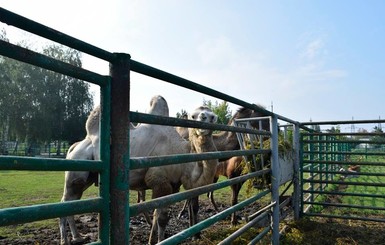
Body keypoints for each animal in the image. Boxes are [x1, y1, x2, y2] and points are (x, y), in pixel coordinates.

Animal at [58, 95, 218, 245]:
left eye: (212, 116)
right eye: (193, 116)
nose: (205, 120)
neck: (180, 153)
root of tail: (73, 147)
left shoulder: (172, 186)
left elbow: (160, 215)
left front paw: (153, 239)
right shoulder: (159, 181)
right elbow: (161, 217)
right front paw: (158, 240)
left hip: (88, 177)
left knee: (72, 202)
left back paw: (78, 237)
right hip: (77, 169)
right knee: (66, 200)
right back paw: (66, 240)